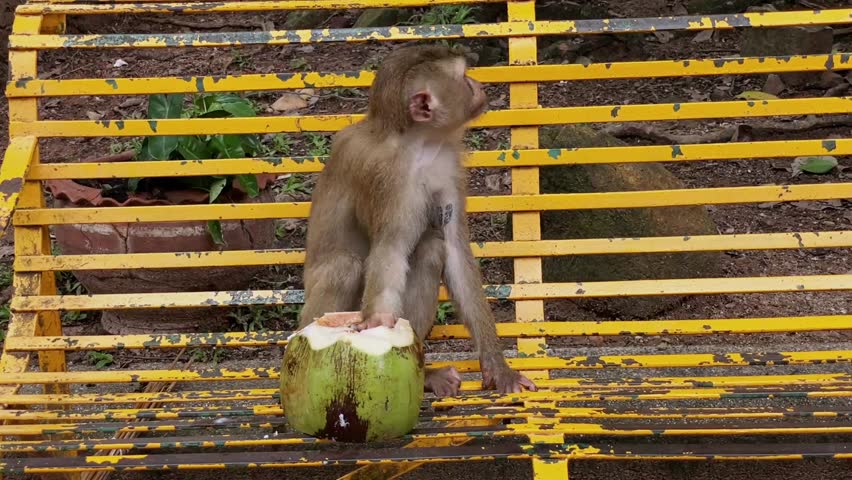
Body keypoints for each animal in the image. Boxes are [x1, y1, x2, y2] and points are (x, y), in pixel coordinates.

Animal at [298, 44, 537, 397]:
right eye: (463, 78)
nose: (479, 85)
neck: (417, 143)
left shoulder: (447, 163)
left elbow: (454, 248)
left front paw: (497, 365)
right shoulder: (392, 181)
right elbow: (391, 249)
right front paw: (376, 323)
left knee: (431, 249)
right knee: (345, 266)